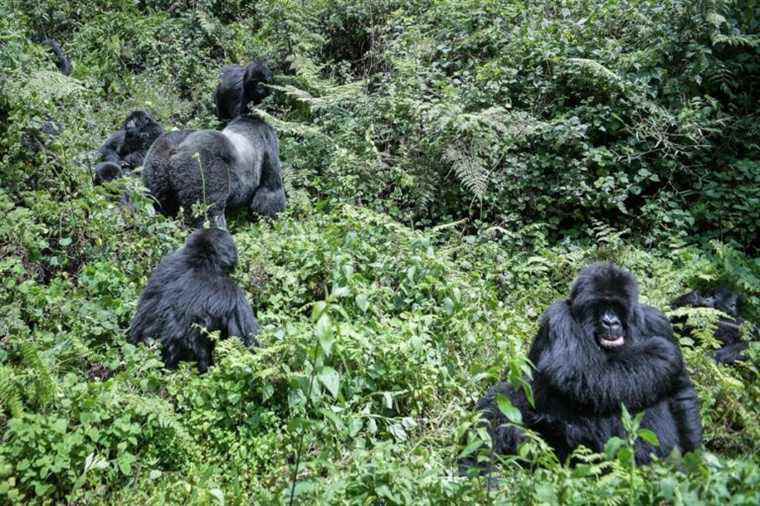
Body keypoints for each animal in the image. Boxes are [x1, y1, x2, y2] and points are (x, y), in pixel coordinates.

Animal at [142, 60, 284, 228]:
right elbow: (270, 191)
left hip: (157, 160)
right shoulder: (269, 142)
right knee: (211, 214)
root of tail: (175, 151)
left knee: (160, 203)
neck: (250, 119)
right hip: (199, 165)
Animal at [466, 262, 704, 472]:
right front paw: (659, 356)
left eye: (616, 306)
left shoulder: (658, 323)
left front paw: (695, 459)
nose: (611, 322)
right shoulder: (558, 318)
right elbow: (576, 372)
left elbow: (680, 393)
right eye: (601, 306)